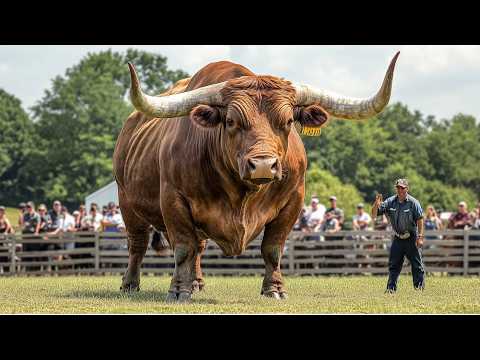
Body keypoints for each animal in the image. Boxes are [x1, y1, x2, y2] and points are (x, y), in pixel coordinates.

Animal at [112, 52, 398, 300]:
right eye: (231, 121)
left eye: (288, 121)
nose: (262, 165)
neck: (240, 194)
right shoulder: (174, 200)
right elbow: (183, 248)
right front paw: (179, 291)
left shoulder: (293, 201)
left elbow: (272, 248)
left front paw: (274, 290)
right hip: (126, 201)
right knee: (138, 244)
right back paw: (131, 284)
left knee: (198, 248)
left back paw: (197, 283)